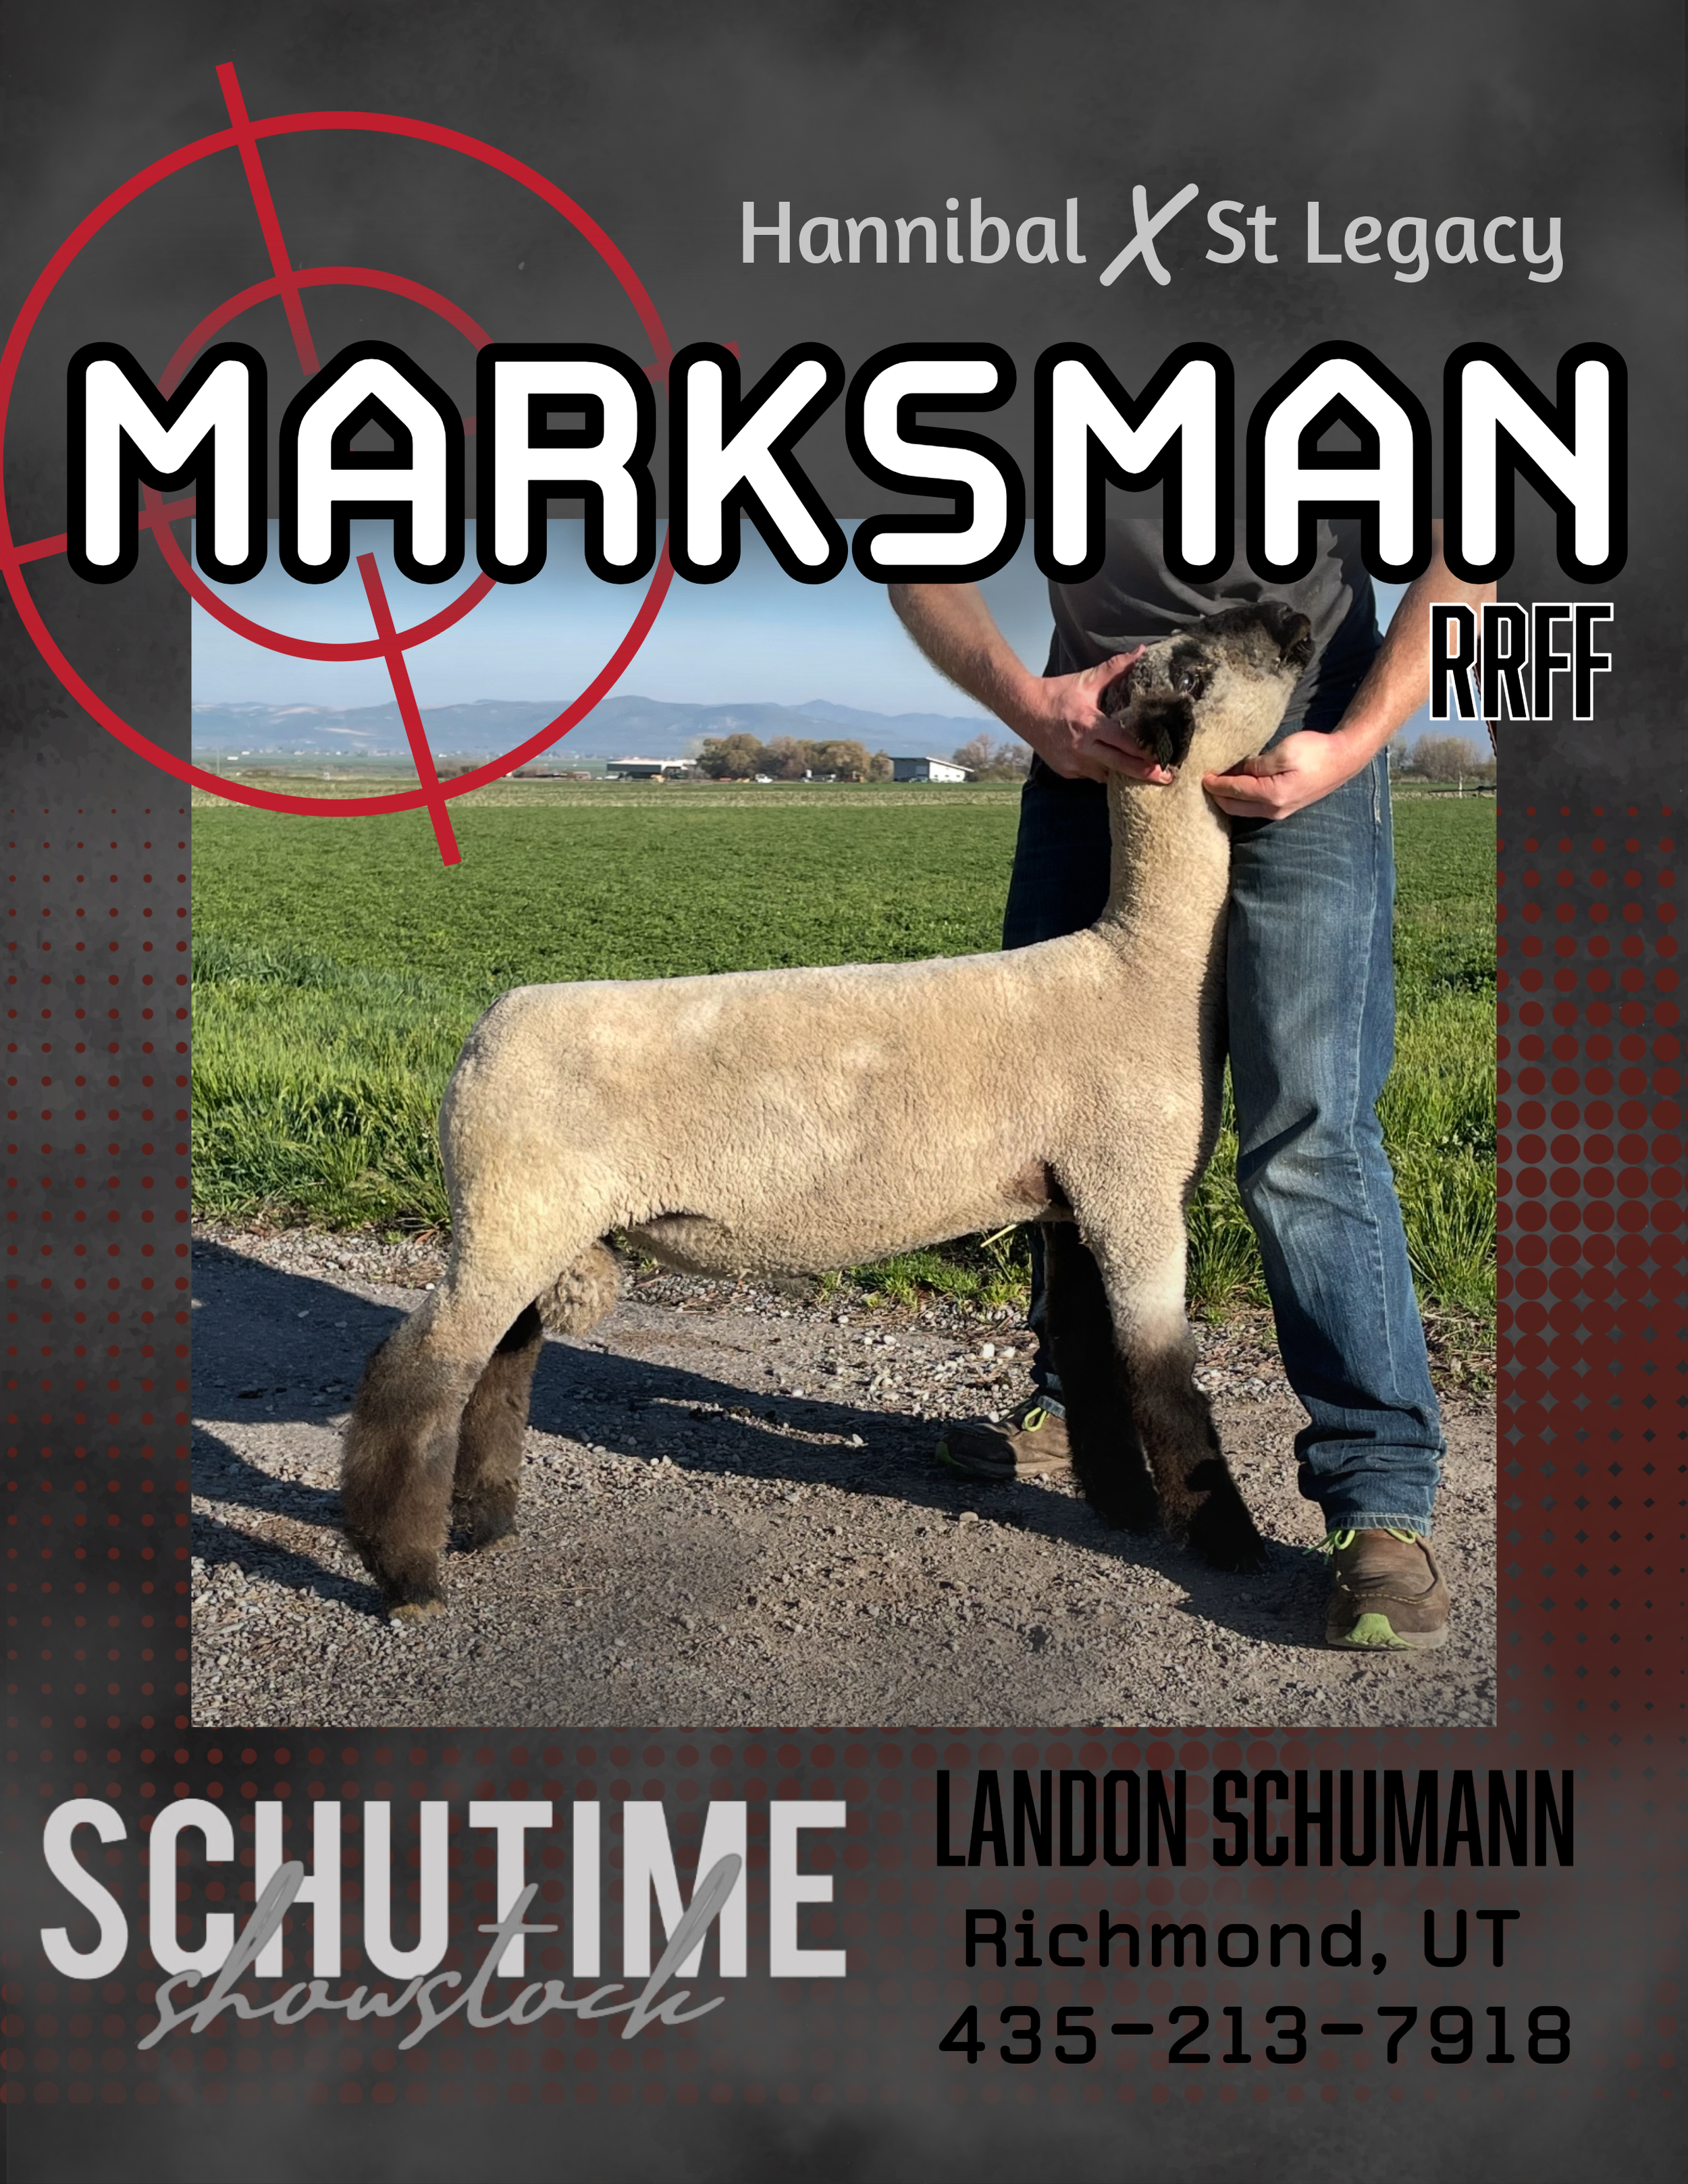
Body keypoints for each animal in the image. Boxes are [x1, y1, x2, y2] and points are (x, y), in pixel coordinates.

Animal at [341, 600, 1316, 1617]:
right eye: (1198, 665)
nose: (1292, 615)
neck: (1141, 965)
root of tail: (483, 1034)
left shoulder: (1072, 1200)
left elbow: (1091, 1362)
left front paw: (1123, 1506)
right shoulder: (1135, 1190)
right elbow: (1165, 1377)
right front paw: (1225, 1540)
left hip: (541, 1217)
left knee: (501, 1364)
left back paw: (486, 1522)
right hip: (513, 1208)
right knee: (417, 1375)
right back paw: (407, 1573)